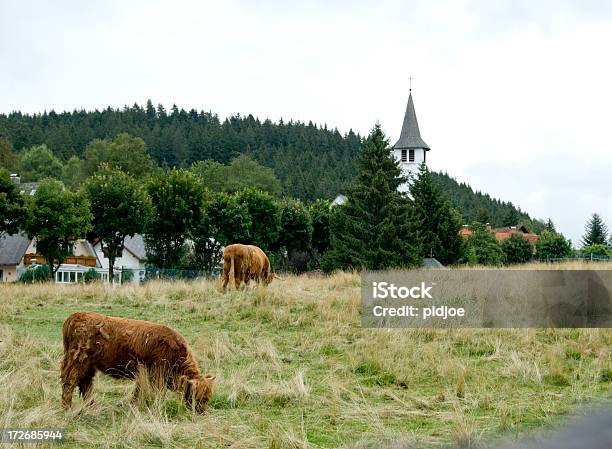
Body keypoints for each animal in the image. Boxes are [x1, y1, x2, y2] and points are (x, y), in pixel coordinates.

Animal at [60, 312, 215, 412]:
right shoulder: (156, 373)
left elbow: (138, 391)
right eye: (198, 396)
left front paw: (134, 405)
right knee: (70, 381)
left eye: (207, 398)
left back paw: (91, 407)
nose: (201, 411)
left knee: (85, 383)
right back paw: (68, 407)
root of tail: (76, 316)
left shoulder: (144, 374)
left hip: (89, 365)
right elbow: (157, 392)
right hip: (77, 361)